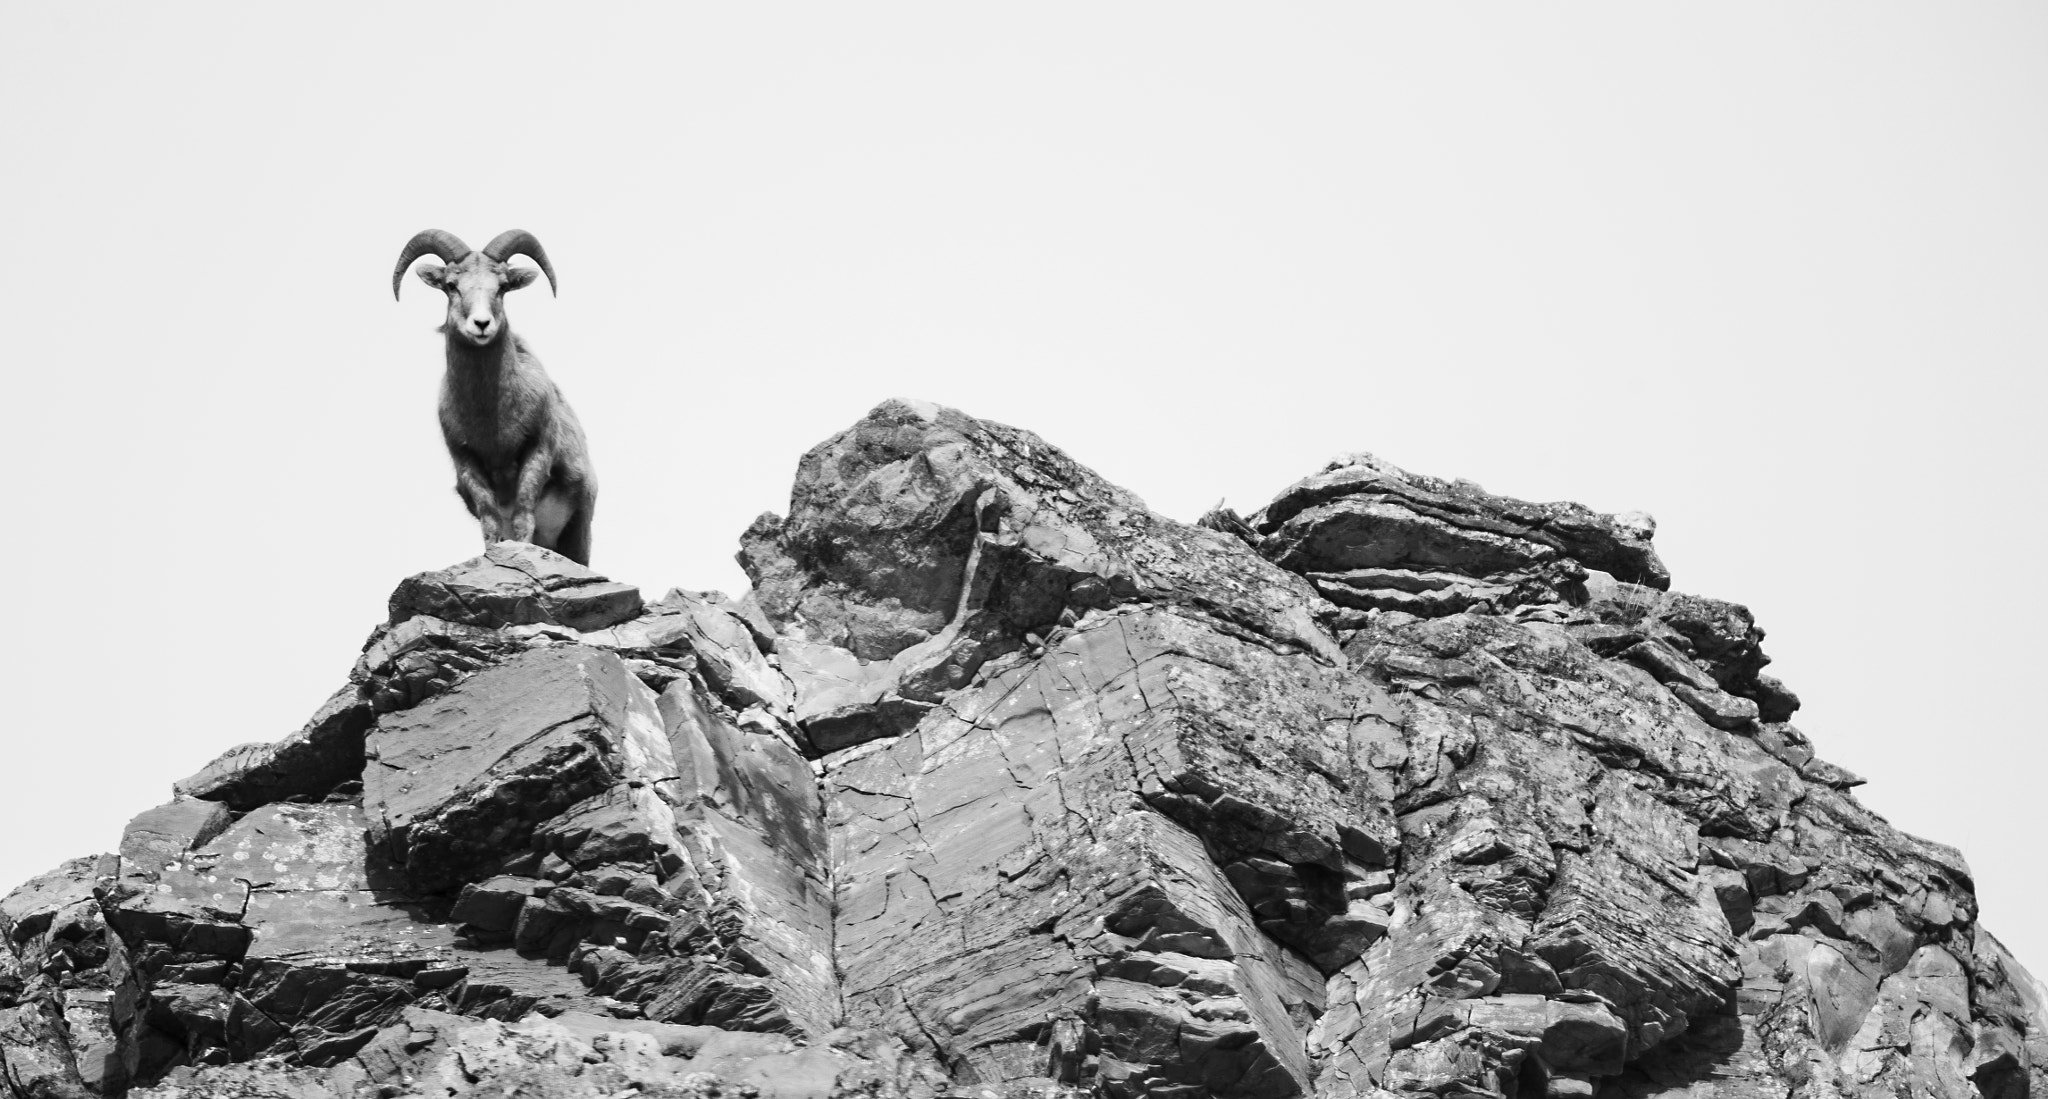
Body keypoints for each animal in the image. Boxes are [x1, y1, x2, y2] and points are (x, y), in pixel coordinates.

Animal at [391, 226, 598, 560]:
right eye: (451, 285)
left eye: (502, 287)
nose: (481, 324)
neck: (493, 423)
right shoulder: (468, 464)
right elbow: (490, 524)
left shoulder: (536, 452)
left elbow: (524, 517)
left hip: (577, 535)